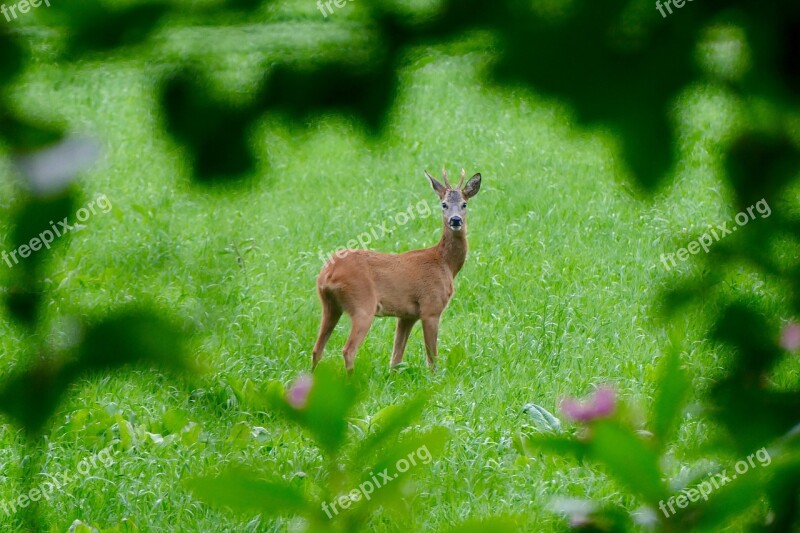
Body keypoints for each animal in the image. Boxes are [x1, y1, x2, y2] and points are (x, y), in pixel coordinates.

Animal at [310, 166, 482, 370]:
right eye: (444, 204)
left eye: (464, 204)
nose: (455, 220)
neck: (445, 263)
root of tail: (327, 274)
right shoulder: (431, 307)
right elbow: (432, 359)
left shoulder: (407, 315)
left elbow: (396, 358)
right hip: (363, 303)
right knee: (348, 350)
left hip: (330, 305)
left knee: (317, 349)